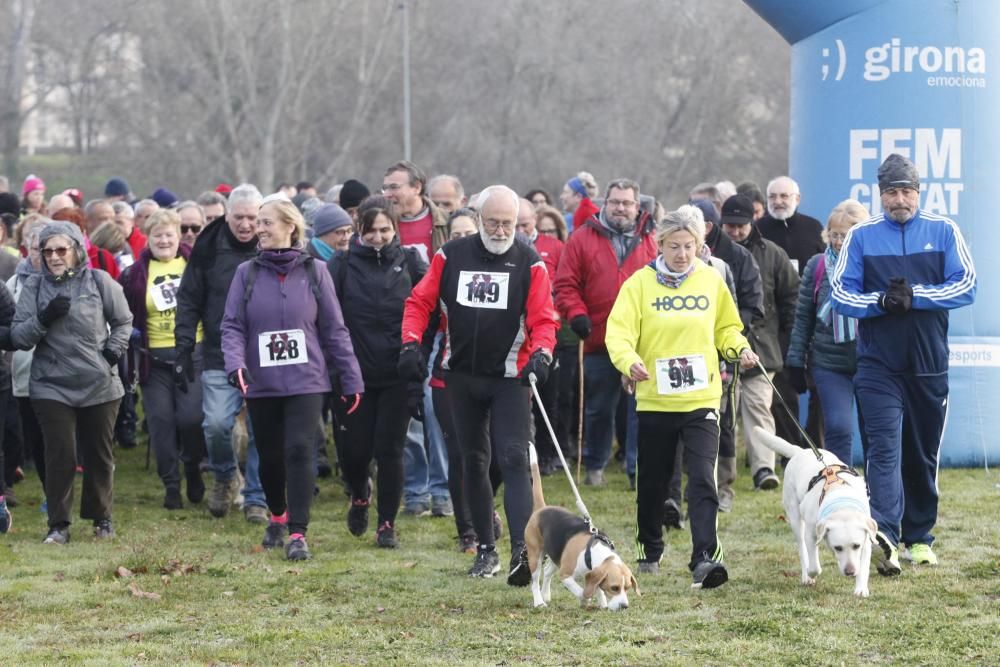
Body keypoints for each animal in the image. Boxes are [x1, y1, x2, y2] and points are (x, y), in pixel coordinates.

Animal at [524, 444, 640, 612]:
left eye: (628, 588)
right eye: (615, 588)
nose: (624, 606)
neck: (590, 552)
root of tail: (542, 509)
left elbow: (597, 587)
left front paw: (602, 603)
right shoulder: (565, 575)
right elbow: (582, 591)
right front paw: (585, 599)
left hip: (556, 556)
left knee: (546, 573)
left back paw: (546, 595)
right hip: (535, 556)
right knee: (534, 580)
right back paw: (539, 601)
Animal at [756, 428, 876, 600]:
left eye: (856, 546)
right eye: (838, 547)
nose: (850, 572)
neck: (840, 499)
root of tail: (799, 451)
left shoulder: (866, 539)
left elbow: (864, 566)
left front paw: (861, 589)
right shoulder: (811, 534)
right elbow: (814, 566)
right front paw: (810, 575)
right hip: (795, 517)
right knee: (802, 549)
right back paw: (806, 576)